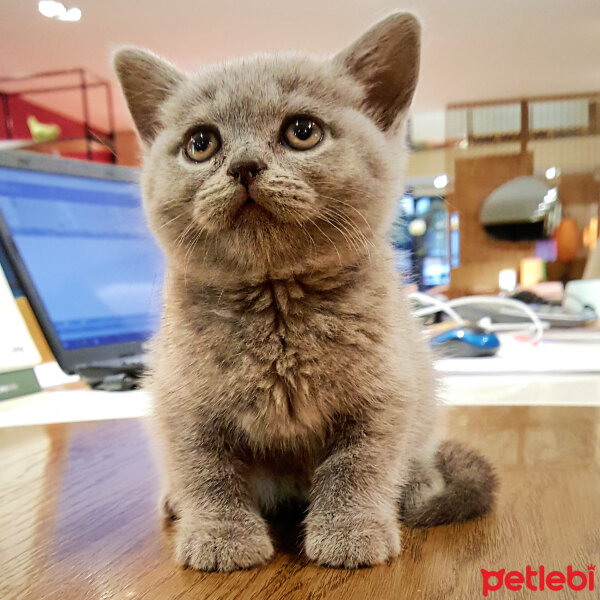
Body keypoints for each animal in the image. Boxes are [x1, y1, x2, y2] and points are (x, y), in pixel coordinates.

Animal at [113, 11, 496, 568]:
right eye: (201, 143)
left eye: (302, 132)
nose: (244, 165)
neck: (277, 301)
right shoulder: (180, 398)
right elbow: (205, 469)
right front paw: (221, 537)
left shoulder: (387, 390)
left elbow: (359, 463)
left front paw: (350, 530)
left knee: (417, 449)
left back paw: (419, 483)